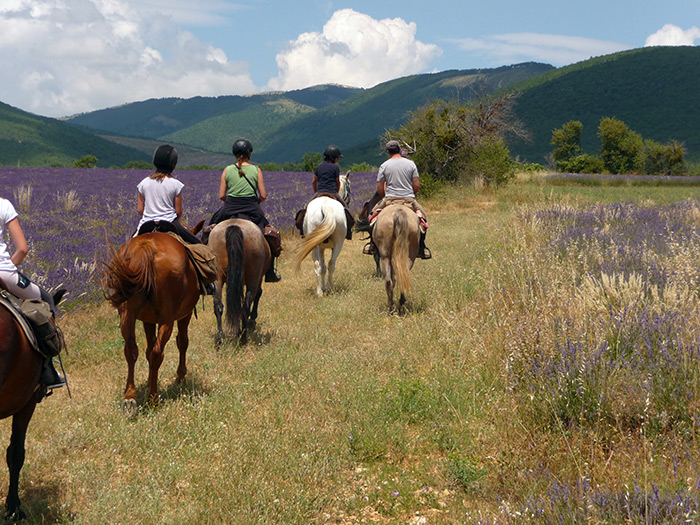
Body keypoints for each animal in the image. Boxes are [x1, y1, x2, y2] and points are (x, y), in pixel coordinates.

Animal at [100, 232, 201, 414]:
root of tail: (145, 249)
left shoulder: (147, 320)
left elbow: (147, 349)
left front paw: (148, 381)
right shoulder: (185, 314)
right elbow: (182, 342)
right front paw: (180, 376)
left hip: (127, 314)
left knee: (131, 350)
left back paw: (129, 397)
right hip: (167, 319)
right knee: (157, 353)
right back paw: (152, 399)